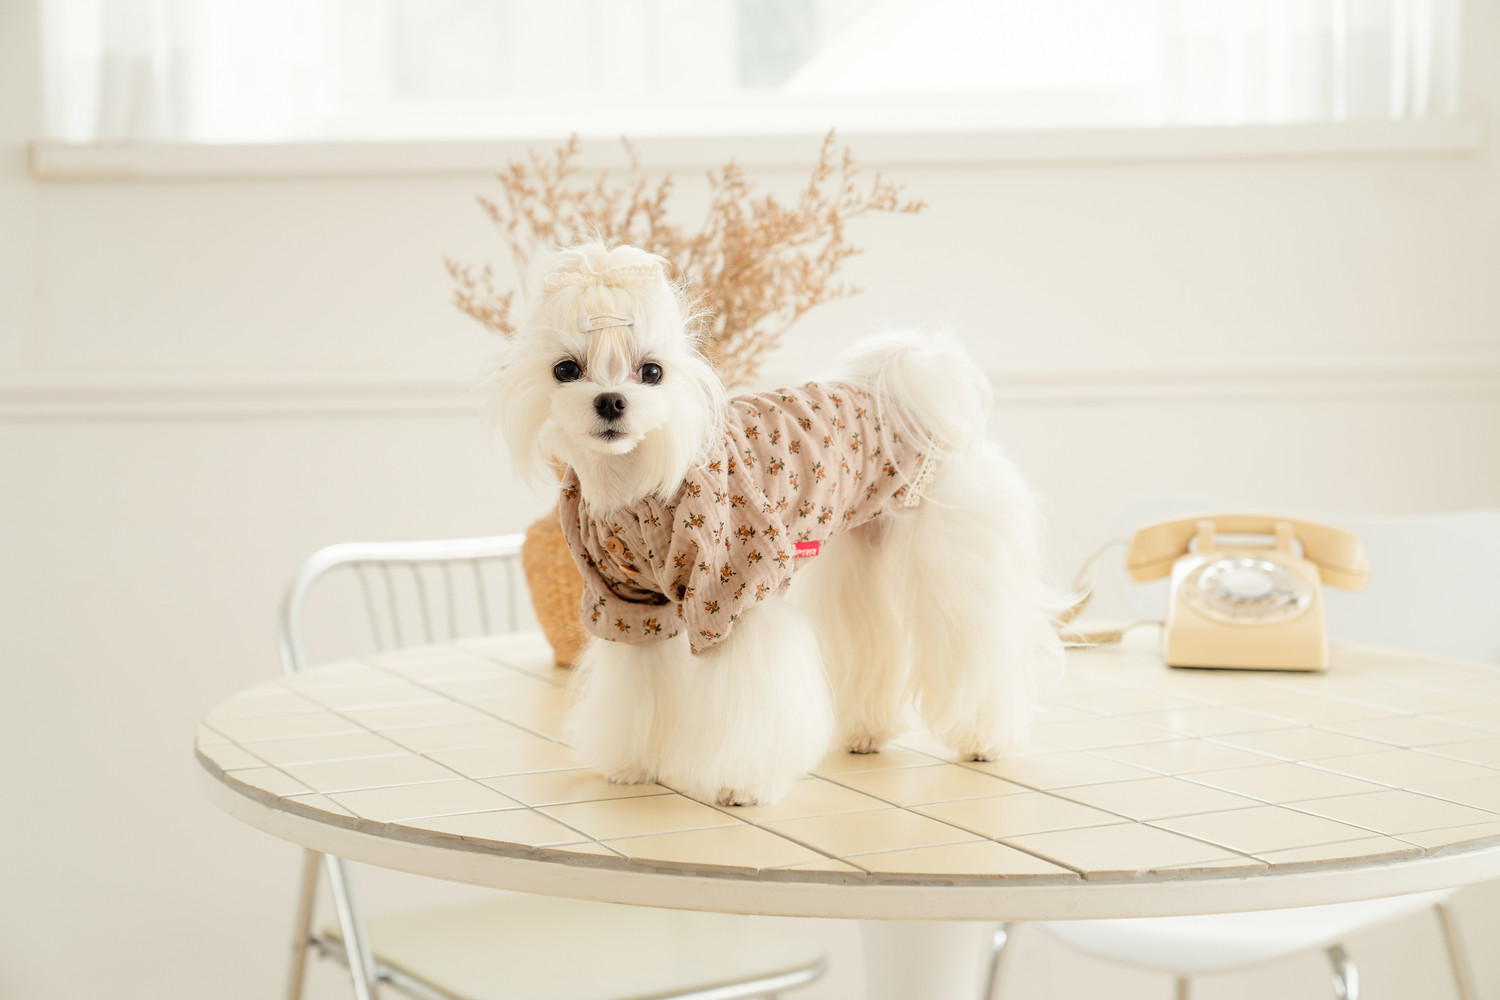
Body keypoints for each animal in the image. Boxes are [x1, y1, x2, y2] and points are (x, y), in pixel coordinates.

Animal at [492, 241, 1063, 806]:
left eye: (651, 372)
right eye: (567, 369)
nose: (611, 400)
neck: (637, 482)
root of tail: (914, 397)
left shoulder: (732, 589)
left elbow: (748, 700)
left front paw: (738, 784)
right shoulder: (630, 604)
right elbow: (638, 686)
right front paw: (635, 765)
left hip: (952, 559)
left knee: (978, 645)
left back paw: (985, 740)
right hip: (857, 552)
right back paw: (866, 733)